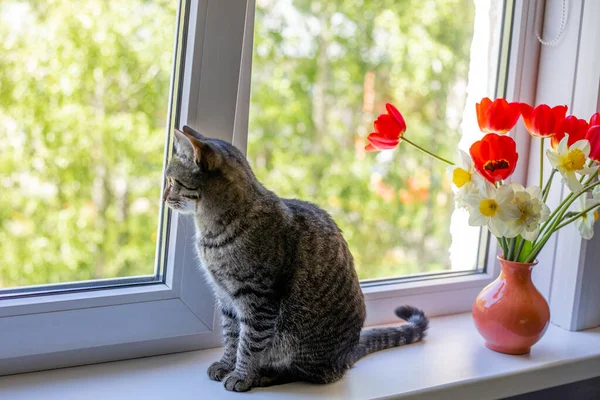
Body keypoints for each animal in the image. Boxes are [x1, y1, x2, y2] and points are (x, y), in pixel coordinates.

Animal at [163, 126, 426, 392]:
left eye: (172, 181)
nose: (163, 197)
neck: (211, 234)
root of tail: (346, 356)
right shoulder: (226, 298)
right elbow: (231, 337)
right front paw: (227, 364)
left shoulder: (259, 299)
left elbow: (249, 344)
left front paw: (241, 375)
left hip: (298, 341)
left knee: (303, 372)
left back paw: (265, 375)